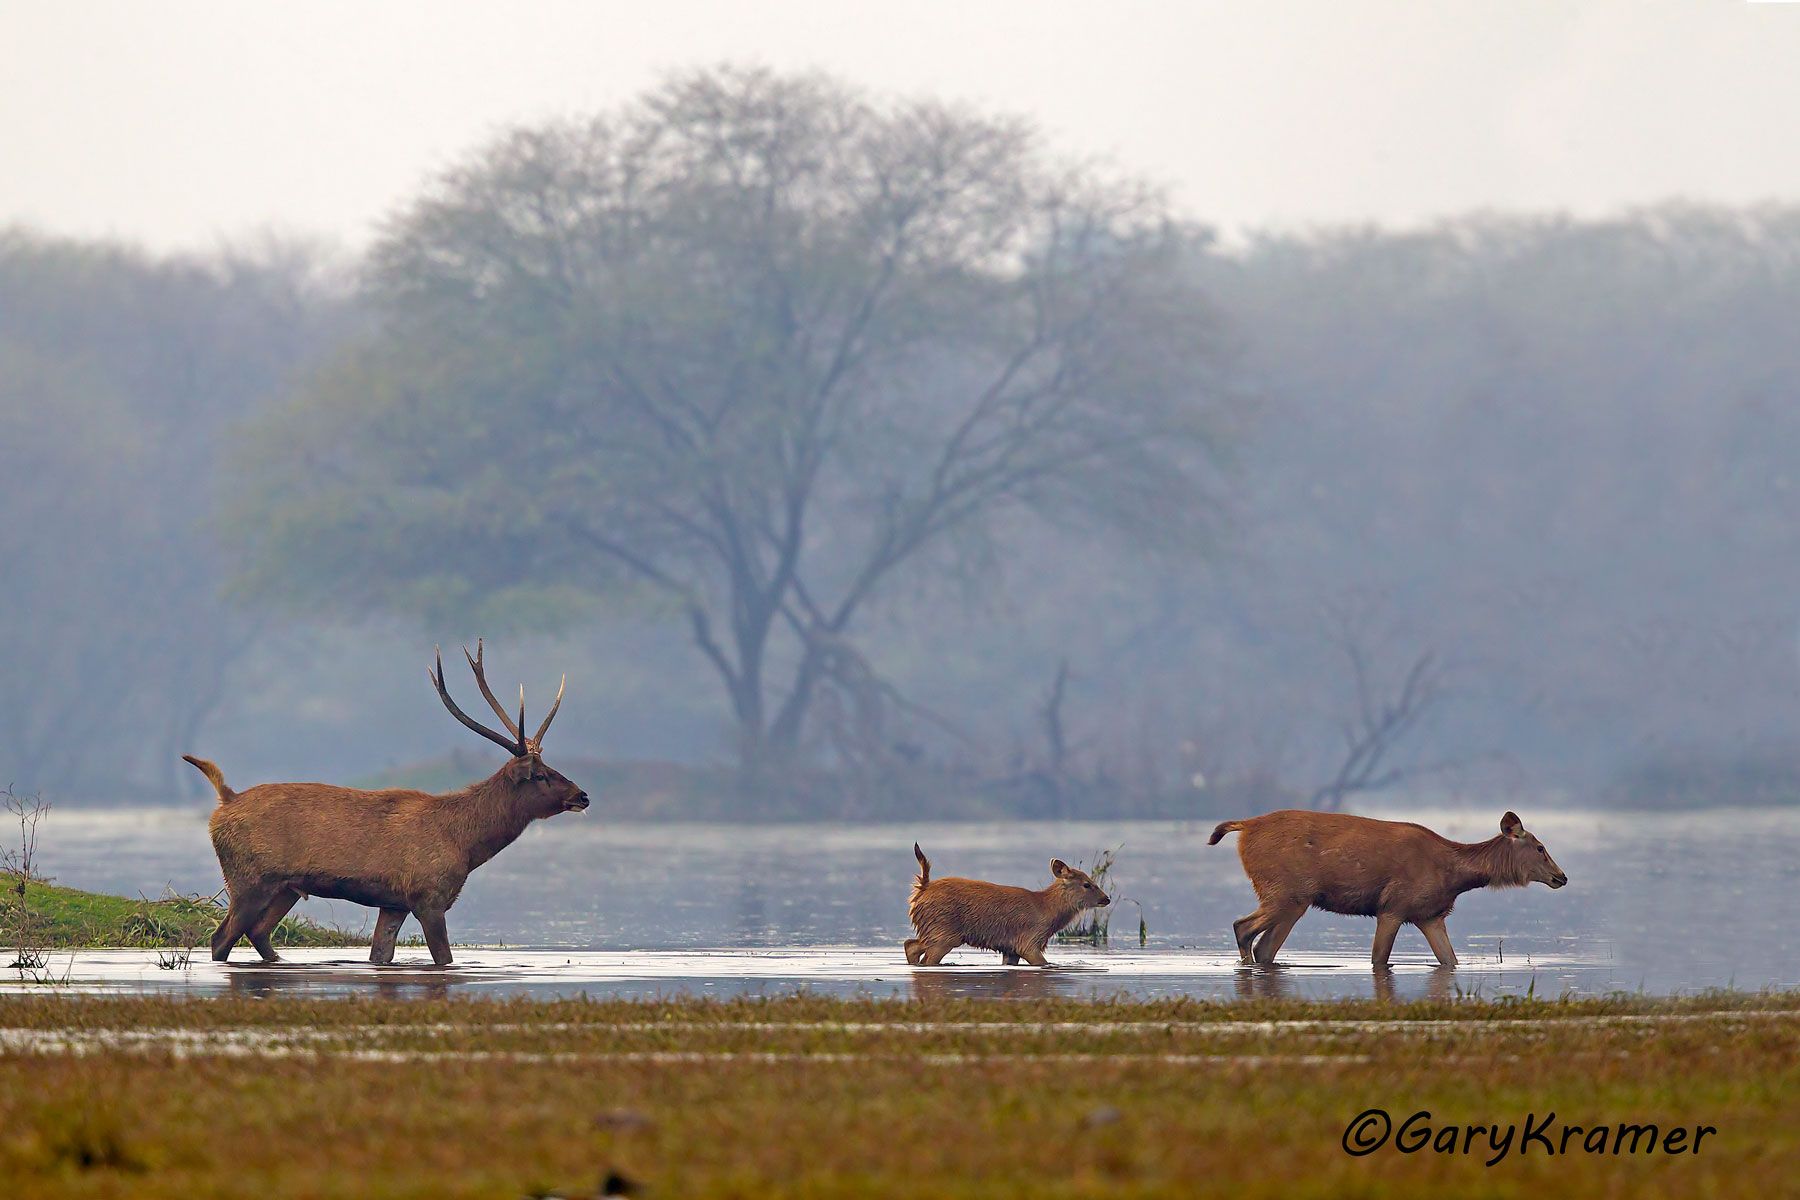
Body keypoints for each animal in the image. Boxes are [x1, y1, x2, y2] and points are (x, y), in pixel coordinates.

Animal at [182, 640, 589, 967]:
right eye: (539, 774)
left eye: (551, 766)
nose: (581, 795)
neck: (465, 843)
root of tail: (226, 799)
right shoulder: (428, 896)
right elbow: (443, 958)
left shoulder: (394, 902)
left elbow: (380, 955)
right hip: (247, 879)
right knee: (221, 938)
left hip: (284, 887)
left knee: (259, 933)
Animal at [903, 844, 1110, 967]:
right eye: (1087, 884)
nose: (1106, 898)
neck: (1048, 913)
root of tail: (922, 889)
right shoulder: (1028, 940)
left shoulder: (1010, 948)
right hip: (943, 931)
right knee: (925, 956)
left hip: (935, 930)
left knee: (911, 945)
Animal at [1208, 809, 1567, 968]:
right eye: (1539, 847)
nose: (1561, 876)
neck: (1453, 875)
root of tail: (1245, 826)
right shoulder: (1393, 906)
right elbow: (1379, 959)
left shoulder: (1430, 915)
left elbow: (1450, 960)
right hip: (1285, 891)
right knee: (1242, 927)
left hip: (1292, 899)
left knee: (1264, 947)